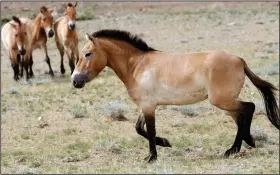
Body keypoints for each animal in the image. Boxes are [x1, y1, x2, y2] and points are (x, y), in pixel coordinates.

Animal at [71, 29, 278, 163]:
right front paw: (165, 143)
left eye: (87, 54)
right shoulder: (147, 105)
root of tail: (240, 60)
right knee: (241, 117)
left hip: (222, 100)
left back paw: (233, 149)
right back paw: (245, 143)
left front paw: (151, 157)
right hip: (226, 103)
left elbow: (149, 130)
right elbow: (139, 128)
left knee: (249, 108)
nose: (75, 80)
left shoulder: (148, 106)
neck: (137, 66)